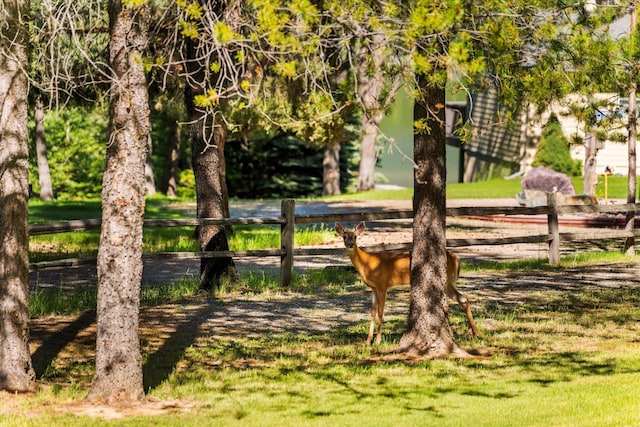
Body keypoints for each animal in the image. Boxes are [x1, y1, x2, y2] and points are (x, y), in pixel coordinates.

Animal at [338, 222, 478, 346]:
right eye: (344, 236)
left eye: (355, 236)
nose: (350, 244)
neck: (367, 263)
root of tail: (456, 258)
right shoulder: (373, 287)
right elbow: (372, 312)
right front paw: (367, 342)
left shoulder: (382, 285)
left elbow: (380, 312)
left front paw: (377, 341)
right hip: (447, 282)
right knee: (463, 298)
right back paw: (475, 333)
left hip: (446, 279)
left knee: (462, 298)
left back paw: (474, 332)